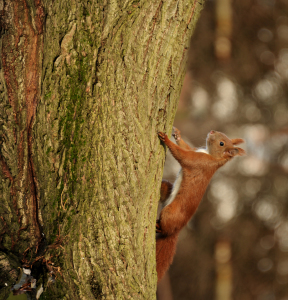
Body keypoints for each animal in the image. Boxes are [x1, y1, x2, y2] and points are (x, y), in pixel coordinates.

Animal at [156, 128, 244, 282]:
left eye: (222, 143)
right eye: (221, 135)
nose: (212, 131)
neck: (210, 155)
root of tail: (176, 230)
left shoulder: (198, 162)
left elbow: (182, 155)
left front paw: (166, 139)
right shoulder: (196, 152)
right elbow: (187, 147)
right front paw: (177, 135)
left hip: (170, 213)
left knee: (165, 228)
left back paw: (160, 227)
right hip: (167, 190)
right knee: (165, 188)